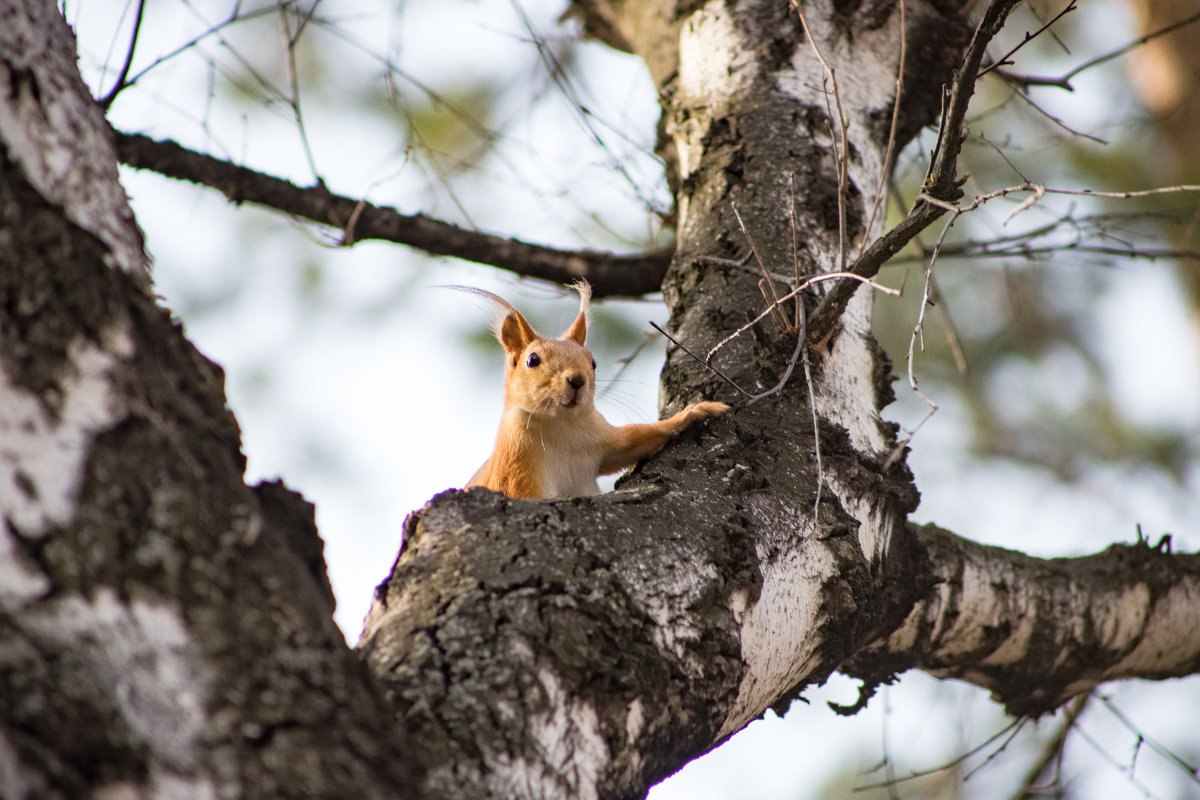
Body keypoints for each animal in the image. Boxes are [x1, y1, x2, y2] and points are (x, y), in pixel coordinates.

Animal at [451, 278, 724, 496]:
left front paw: (695, 412)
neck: (560, 425)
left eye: (593, 362)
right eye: (532, 360)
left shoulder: (602, 440)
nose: (577, 379)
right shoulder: (514, 468)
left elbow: (635, 440)